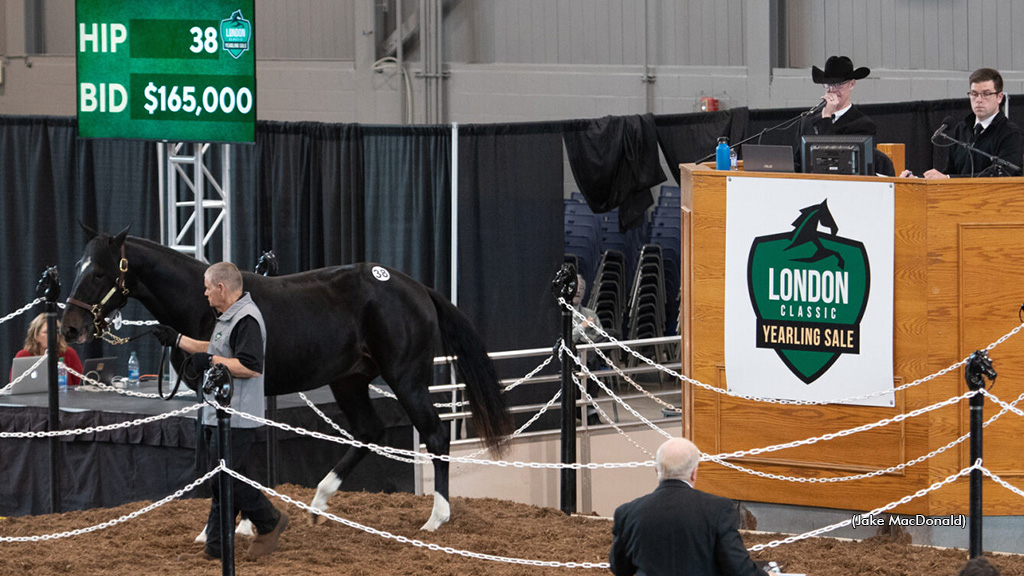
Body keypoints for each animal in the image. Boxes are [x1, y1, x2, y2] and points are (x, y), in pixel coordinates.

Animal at [60, 228, 512, 528]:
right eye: (79, 267)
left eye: (99, 273)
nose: (70, 328)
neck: (203, 306)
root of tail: (416, 287)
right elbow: (218, 457)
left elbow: (228, 457)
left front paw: (236, 525)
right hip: (349, 380)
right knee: (369, 431)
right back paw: (319, 502)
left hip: (407, 378)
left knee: (435, 436)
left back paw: (436, 518)